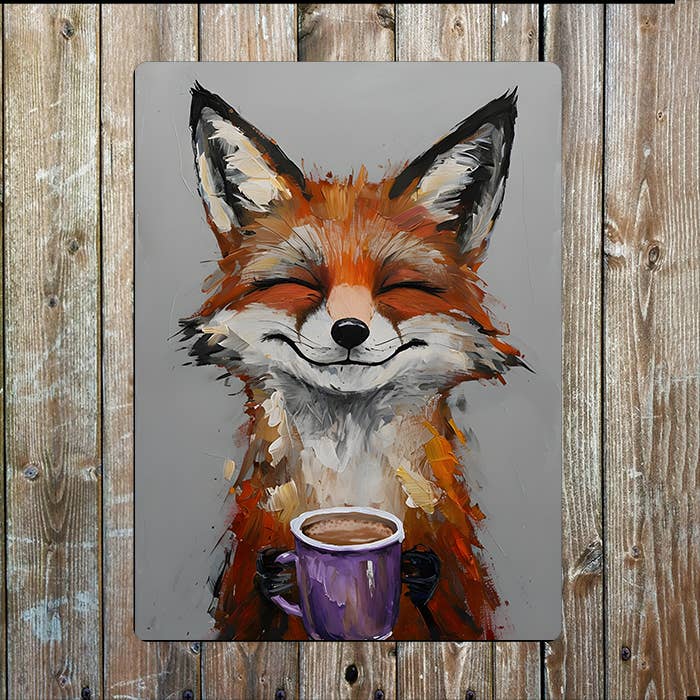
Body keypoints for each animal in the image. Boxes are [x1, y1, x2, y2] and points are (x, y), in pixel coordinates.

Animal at [182, 82, 525, 641]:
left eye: (397, 287)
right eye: (300, 282)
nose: (349, 330)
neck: (348, 485)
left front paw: (419, 577)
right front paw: (278, 581)